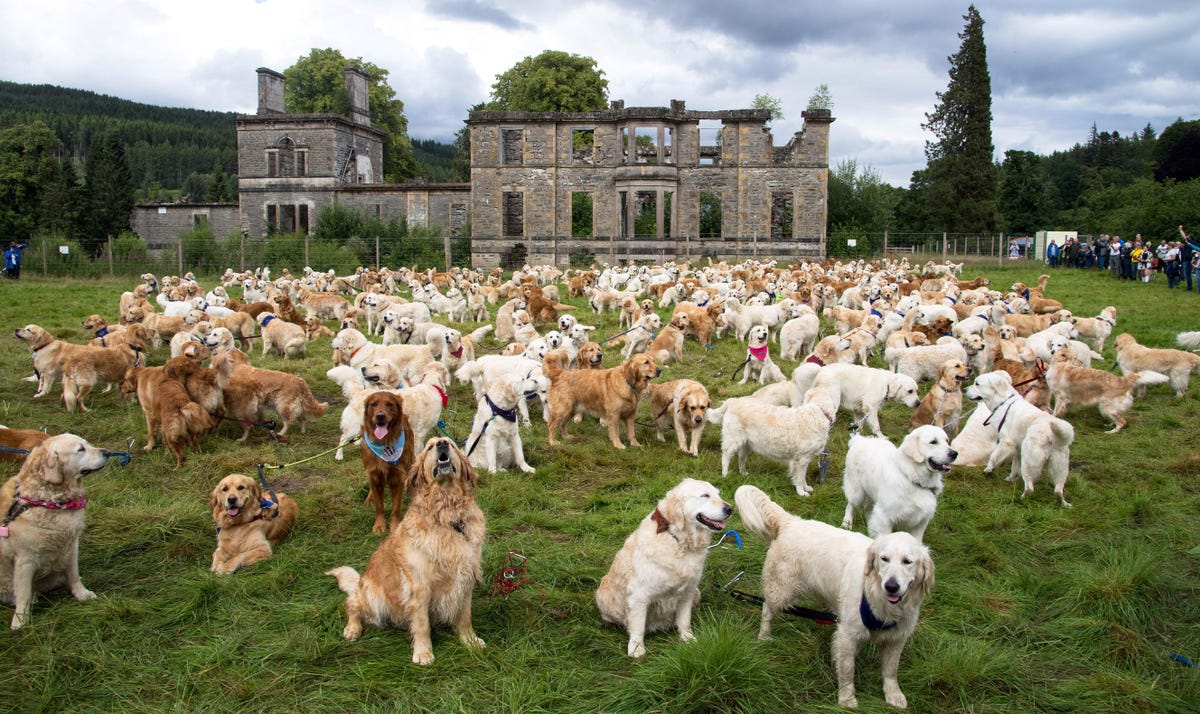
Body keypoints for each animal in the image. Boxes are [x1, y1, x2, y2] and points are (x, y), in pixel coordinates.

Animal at [0, 432, 113, 628]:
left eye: (87, 444)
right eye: (80, 449)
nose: (107, 452)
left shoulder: (71, 545)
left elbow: (74, 574)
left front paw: (82, 594)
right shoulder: (25, 558)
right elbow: (23, 592)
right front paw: (20, 620)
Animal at [357, 391, 415, 537]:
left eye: (390, 404)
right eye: (373, 404)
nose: (380, 416)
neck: (384, 443)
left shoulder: (398, 477)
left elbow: (396, 508)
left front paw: (394, 526)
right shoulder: (373, 474)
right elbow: (379, 506)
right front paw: (379, 525)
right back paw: (370, 498)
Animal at [597, 480, 734, 657]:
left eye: (718, 494)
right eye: (705, 495)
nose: (730, 509)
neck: (679, 541)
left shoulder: (688, 590)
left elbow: (684, 619)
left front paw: (687, 638)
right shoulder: (639, 594)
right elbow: (638, 625)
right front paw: (637, 648)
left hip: (697, 593)